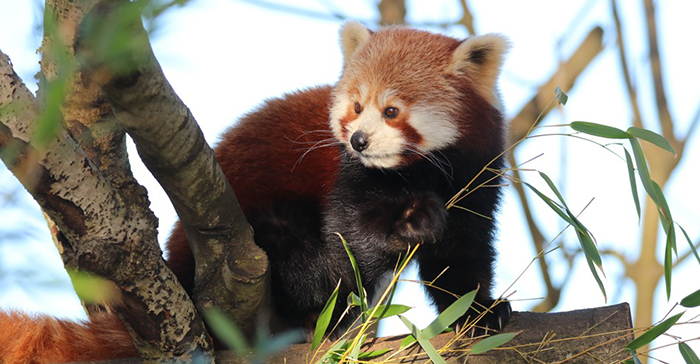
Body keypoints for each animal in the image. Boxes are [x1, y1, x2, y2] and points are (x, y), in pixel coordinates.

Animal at [0, 22, 508, 362]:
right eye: (356, 106)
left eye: (392, 110)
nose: (359, 140)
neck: (420, 172)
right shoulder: (349, 177)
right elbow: (349, 237)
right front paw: (406, 224)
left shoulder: (476, 176)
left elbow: (462, 254)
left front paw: (480, 310)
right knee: (299, 258)